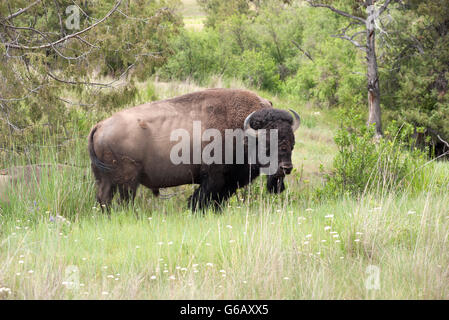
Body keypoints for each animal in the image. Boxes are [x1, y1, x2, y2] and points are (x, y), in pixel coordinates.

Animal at [88, 89, 300, 211]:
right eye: (267, 143)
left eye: (292, 143)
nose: (285, 168)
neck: (242, 131)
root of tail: (100, 125)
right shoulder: (214, 179)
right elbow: (201, 200)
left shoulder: (228, 183)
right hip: (128, 181)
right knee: (123, 200)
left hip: (105, 179)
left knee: (104, 198)